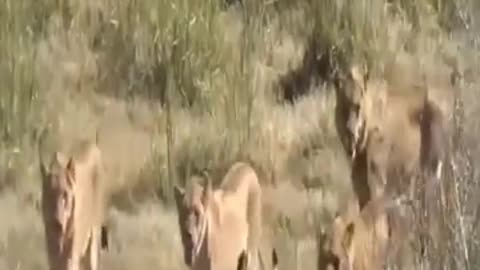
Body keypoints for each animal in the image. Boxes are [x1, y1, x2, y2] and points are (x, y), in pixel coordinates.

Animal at [38, 129, 109, 270]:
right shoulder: (52, 255)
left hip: (93, 240)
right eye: (49, 194)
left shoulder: (70, 256)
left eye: (65, 195)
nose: (57, 223)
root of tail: (93, 144)